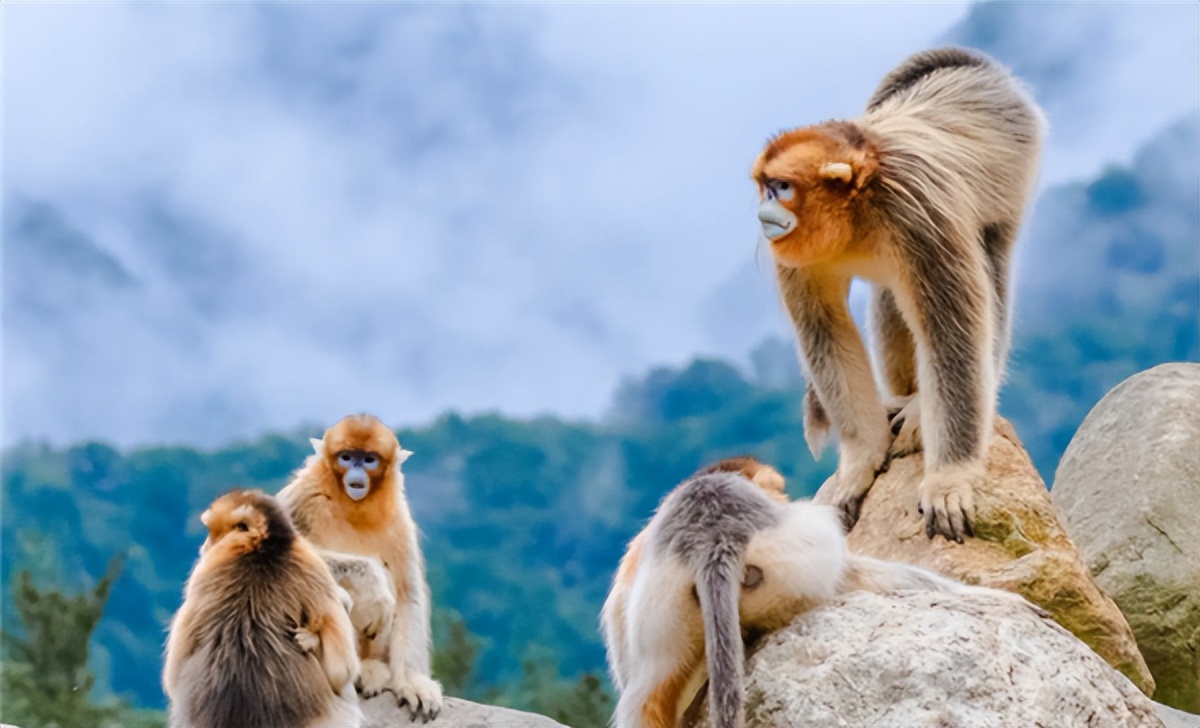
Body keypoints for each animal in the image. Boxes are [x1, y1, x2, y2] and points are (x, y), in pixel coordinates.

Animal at [278, 414, 444, 724]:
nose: (356, 473)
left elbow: (409, 595)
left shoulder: (399, 519)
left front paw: (413, 683)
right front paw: (373, 587)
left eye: (368, 460)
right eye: (346, 457)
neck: (351, 505)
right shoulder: (304, 493)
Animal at [753, 47, 1046, 542]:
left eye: (783, 188)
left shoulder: (918, 214)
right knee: (893, 296)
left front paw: (949, 480)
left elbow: (952, 335)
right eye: (764, 187)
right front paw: (859, 463)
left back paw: (922, 407)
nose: (762, 214)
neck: (857, 209)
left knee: (987, 270)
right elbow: (826, 333)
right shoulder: (790, 255)